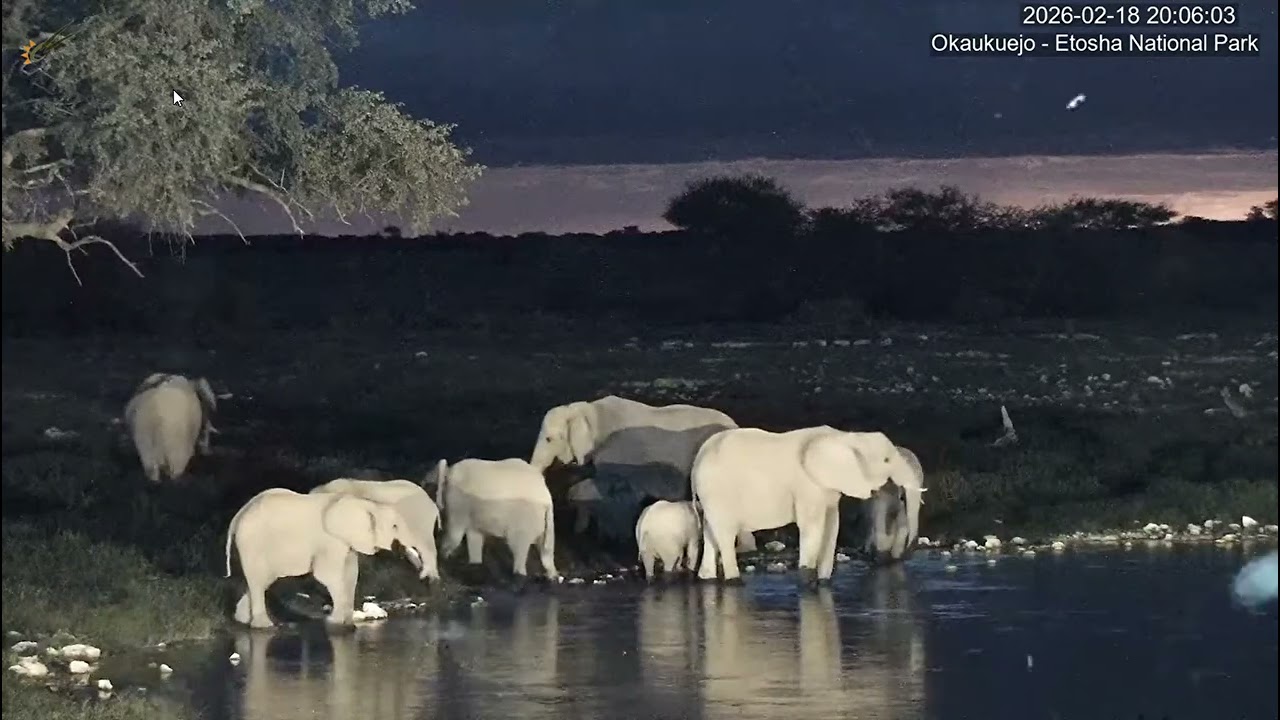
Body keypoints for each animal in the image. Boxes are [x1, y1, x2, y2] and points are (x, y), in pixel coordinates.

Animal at [224, 488, 430, 628]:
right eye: (395, 526)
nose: (423, 579)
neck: (367, 503)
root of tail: (237, 516)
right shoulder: (330, 540)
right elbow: (327, 575)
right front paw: (336, 624)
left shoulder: (346, 542)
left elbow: (351, 574)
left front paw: (348, 624)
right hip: (252, 542)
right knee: (259, 580)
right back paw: (264, 627)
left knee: (259, 581)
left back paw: (243, 621)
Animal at [426, 458, 561, 582]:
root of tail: (547, 499)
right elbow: (474, 537)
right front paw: (474, 565)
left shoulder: (459, 501)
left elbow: (456, 534)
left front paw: (444, 559)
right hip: (545, 522)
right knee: (546, 552)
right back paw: (552, 577)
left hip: (524, 519)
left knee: (519, 549)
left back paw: (520, 576)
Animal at [692, 426, 920, 586]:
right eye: (886, 460)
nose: (907, 553)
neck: (847, 437)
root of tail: (697, 461)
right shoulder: (808, 486)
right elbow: (812, 527)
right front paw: (808, 585)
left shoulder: (829, 489)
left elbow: (832, 525)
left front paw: (824, 584)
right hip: (718, 492)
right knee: (725, 534)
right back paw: (735, 582)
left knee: (711, 533)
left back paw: (707, 579)